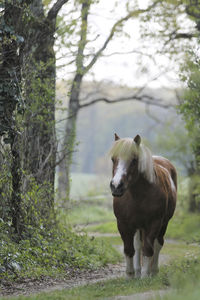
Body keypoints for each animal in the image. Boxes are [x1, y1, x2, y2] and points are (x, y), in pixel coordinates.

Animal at [109, 134, 177, 278]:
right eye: (113, 159)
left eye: (134, 160)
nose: (116, 186)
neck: (138, 196)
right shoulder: (123, 224)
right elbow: (129, 249)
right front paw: (130, 275)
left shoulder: (154, 223)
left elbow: (148, 249)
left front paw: (145, 276)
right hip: (138, 227)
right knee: (138, 245)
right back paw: (137, 271)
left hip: (163, 224)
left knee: (157, 244)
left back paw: (153, 271)